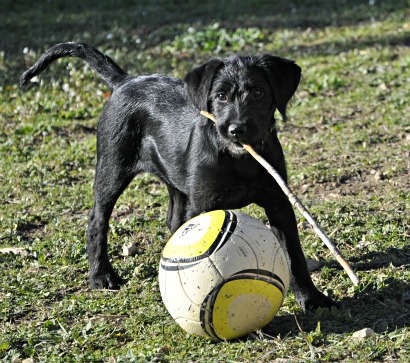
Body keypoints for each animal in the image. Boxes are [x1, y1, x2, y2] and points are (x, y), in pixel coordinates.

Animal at [22, 42, 334, 310]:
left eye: (257, 93)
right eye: (220, 96)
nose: (236, 130)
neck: (239, 159)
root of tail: (124, 81)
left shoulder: (279, 203)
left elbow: (294, 255)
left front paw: (312, 298)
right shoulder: (203, 205)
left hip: (176, 183)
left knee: (173, 220)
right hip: (112, 168)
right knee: (97, 220)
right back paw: (101, 276)